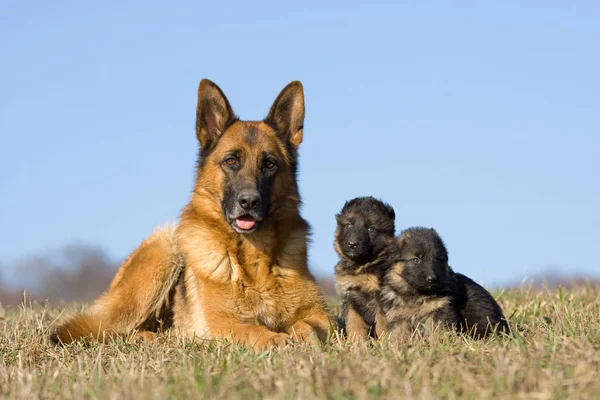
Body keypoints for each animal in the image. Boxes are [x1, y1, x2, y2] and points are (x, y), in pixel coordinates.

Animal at [50, 79, 332, 348]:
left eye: (270, 164)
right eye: (231, 161)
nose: (249, 201)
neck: (254, 259)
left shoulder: (321, 318)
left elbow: (307, 325)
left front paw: (302, 337)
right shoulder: (222, 323)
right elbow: (252, 330)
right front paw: (274, 339)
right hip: (163, 251)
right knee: (114, 330)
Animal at [332, 197, 394, 340]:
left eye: (371, 229)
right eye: (348, 225)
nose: (352, 244)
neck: (361, 266)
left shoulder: (381, 301)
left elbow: (382, 326)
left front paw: (385, 344)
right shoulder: (350, 299)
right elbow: (354, 325)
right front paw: (357, 343)